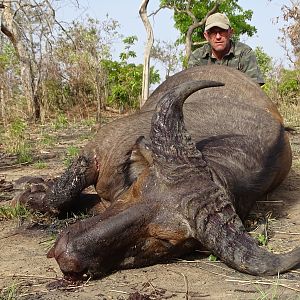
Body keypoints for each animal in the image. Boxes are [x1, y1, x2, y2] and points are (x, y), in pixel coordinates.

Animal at [17, 64, 298, 280]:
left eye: (164, 240)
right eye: (136, 188)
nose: (66, 254)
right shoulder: (94, 152)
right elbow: (59, 197)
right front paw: (31, 193)